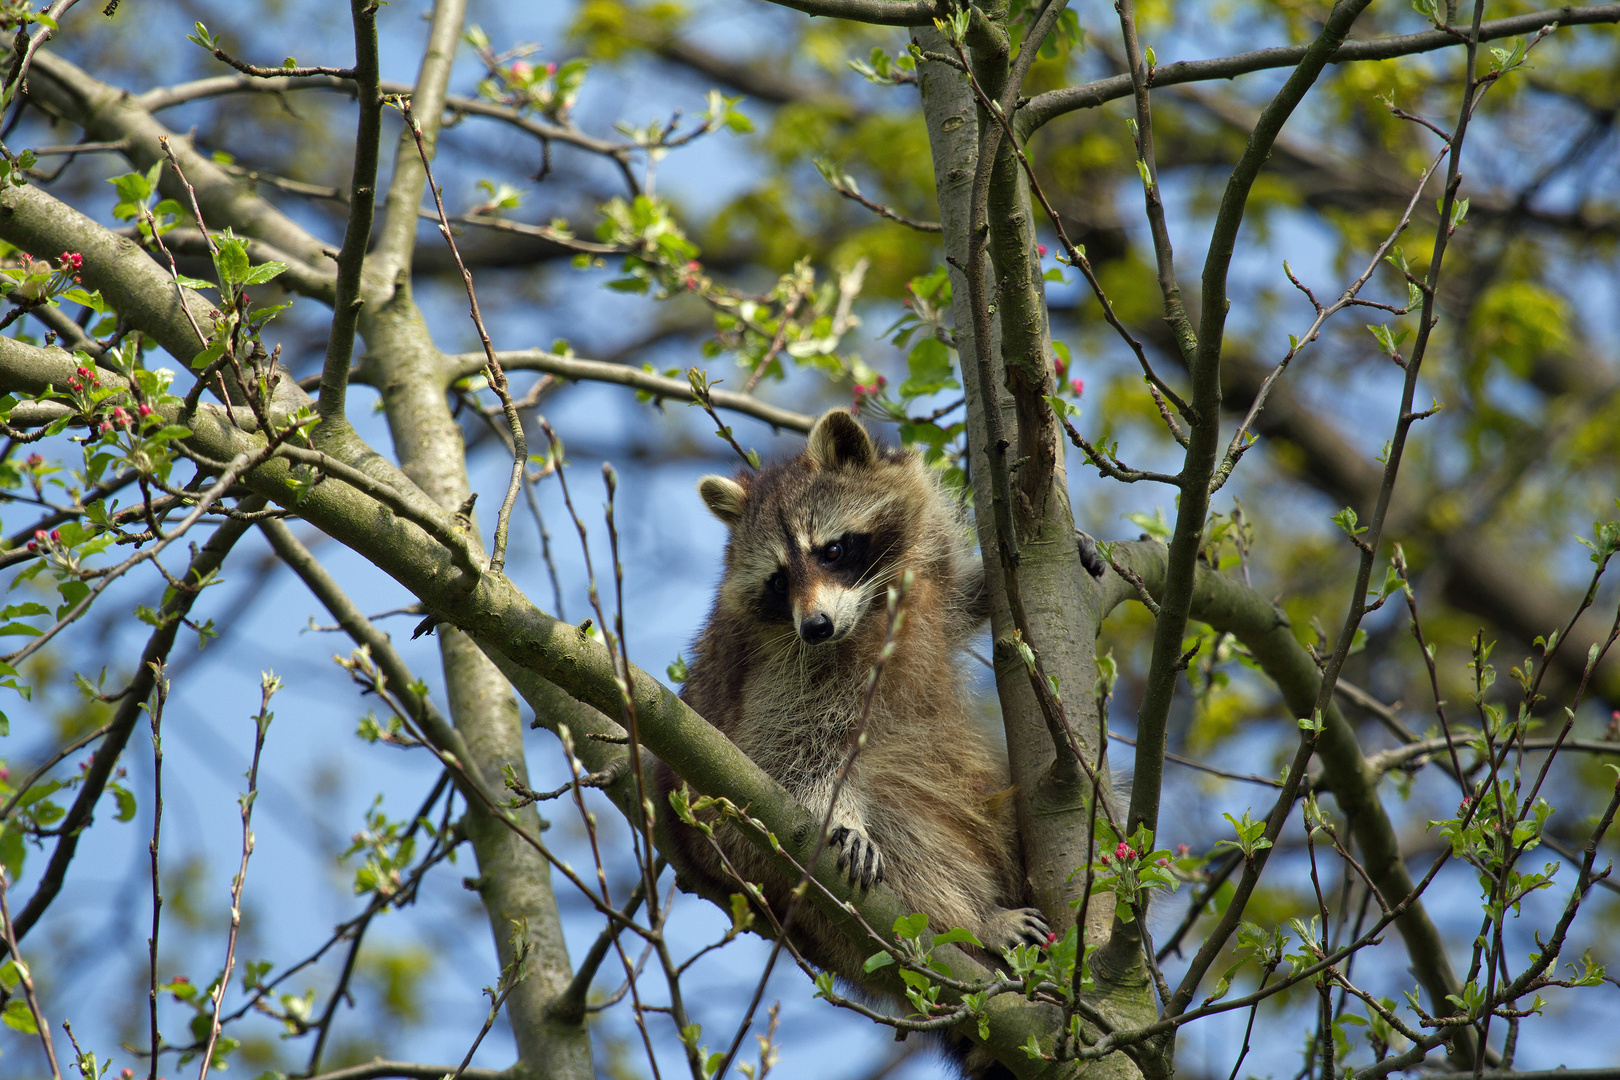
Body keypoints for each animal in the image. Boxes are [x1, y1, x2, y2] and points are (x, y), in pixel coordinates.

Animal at [657, 408, 1049, 977]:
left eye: (833, 550)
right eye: (779, 580)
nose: (816, 627)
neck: (873, 605)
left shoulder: (926, 576)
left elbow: (962, 590)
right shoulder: (781, 669)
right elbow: (784, 750)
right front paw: (839, 816)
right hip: (758, 863)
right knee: (903, 831)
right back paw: (973, 921)